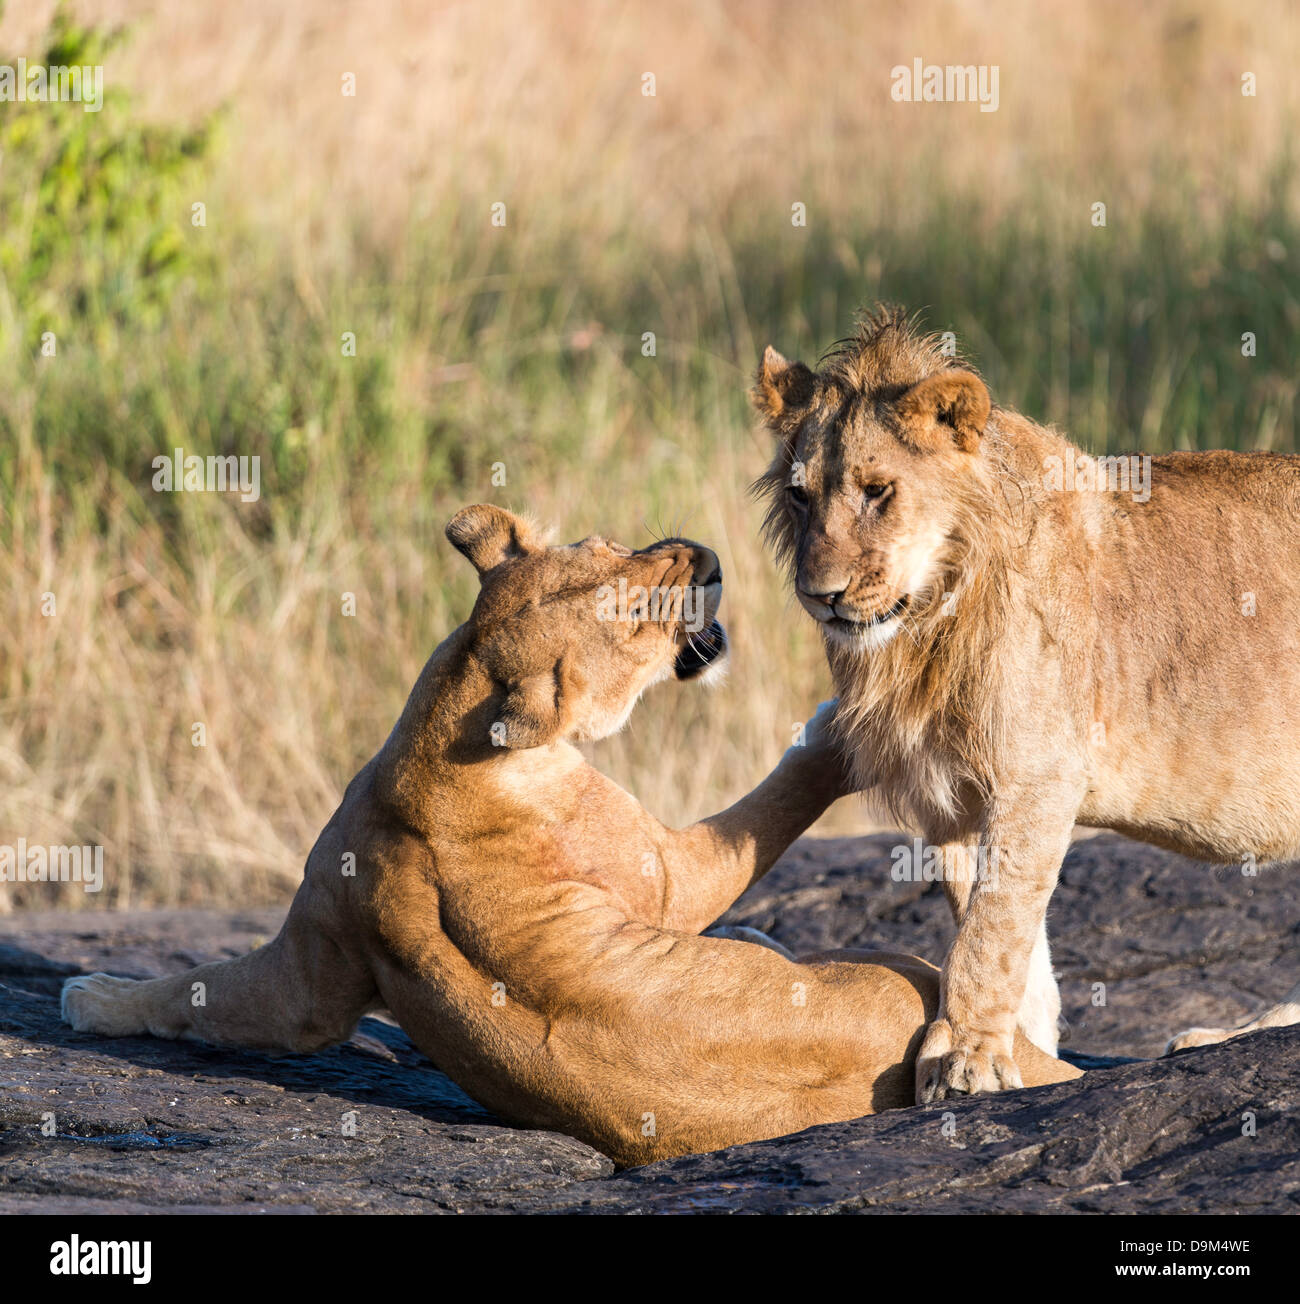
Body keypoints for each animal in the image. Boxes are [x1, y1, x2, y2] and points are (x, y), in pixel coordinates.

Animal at [62, 504, 1078, 1164]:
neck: (453, 721)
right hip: (906, 974)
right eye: (631, 616)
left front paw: (95, 997)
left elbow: (211, 995)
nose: (708, 555)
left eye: (610, 543)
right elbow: (773, 802)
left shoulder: (317, 957)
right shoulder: (671, 874)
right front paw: (840, 722)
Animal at [752, 305, 1300, 1102]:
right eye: (800, 496)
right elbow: (1000, 936)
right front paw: (1026, 1053)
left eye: (878, 490)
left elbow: (991, 929)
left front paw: (967, 1061)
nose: (821, 595)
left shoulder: (1038, 774)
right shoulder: (949, 793)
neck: (928, 620)